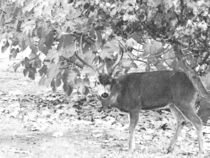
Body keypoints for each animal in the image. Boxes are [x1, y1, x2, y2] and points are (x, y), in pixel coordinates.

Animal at [75, 39, 205, 154]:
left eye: (110, 81)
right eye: (97, 82)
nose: (104, 94)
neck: (120, 91)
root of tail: (194, 84)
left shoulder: (135, 106)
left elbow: (131, 128)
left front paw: (130, 149)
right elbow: (130, 127)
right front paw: (132, 147)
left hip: (184, 101)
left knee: (197, 121)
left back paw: (200, 151)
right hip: (173, 103)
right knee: (181, 120)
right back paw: (169, 149)